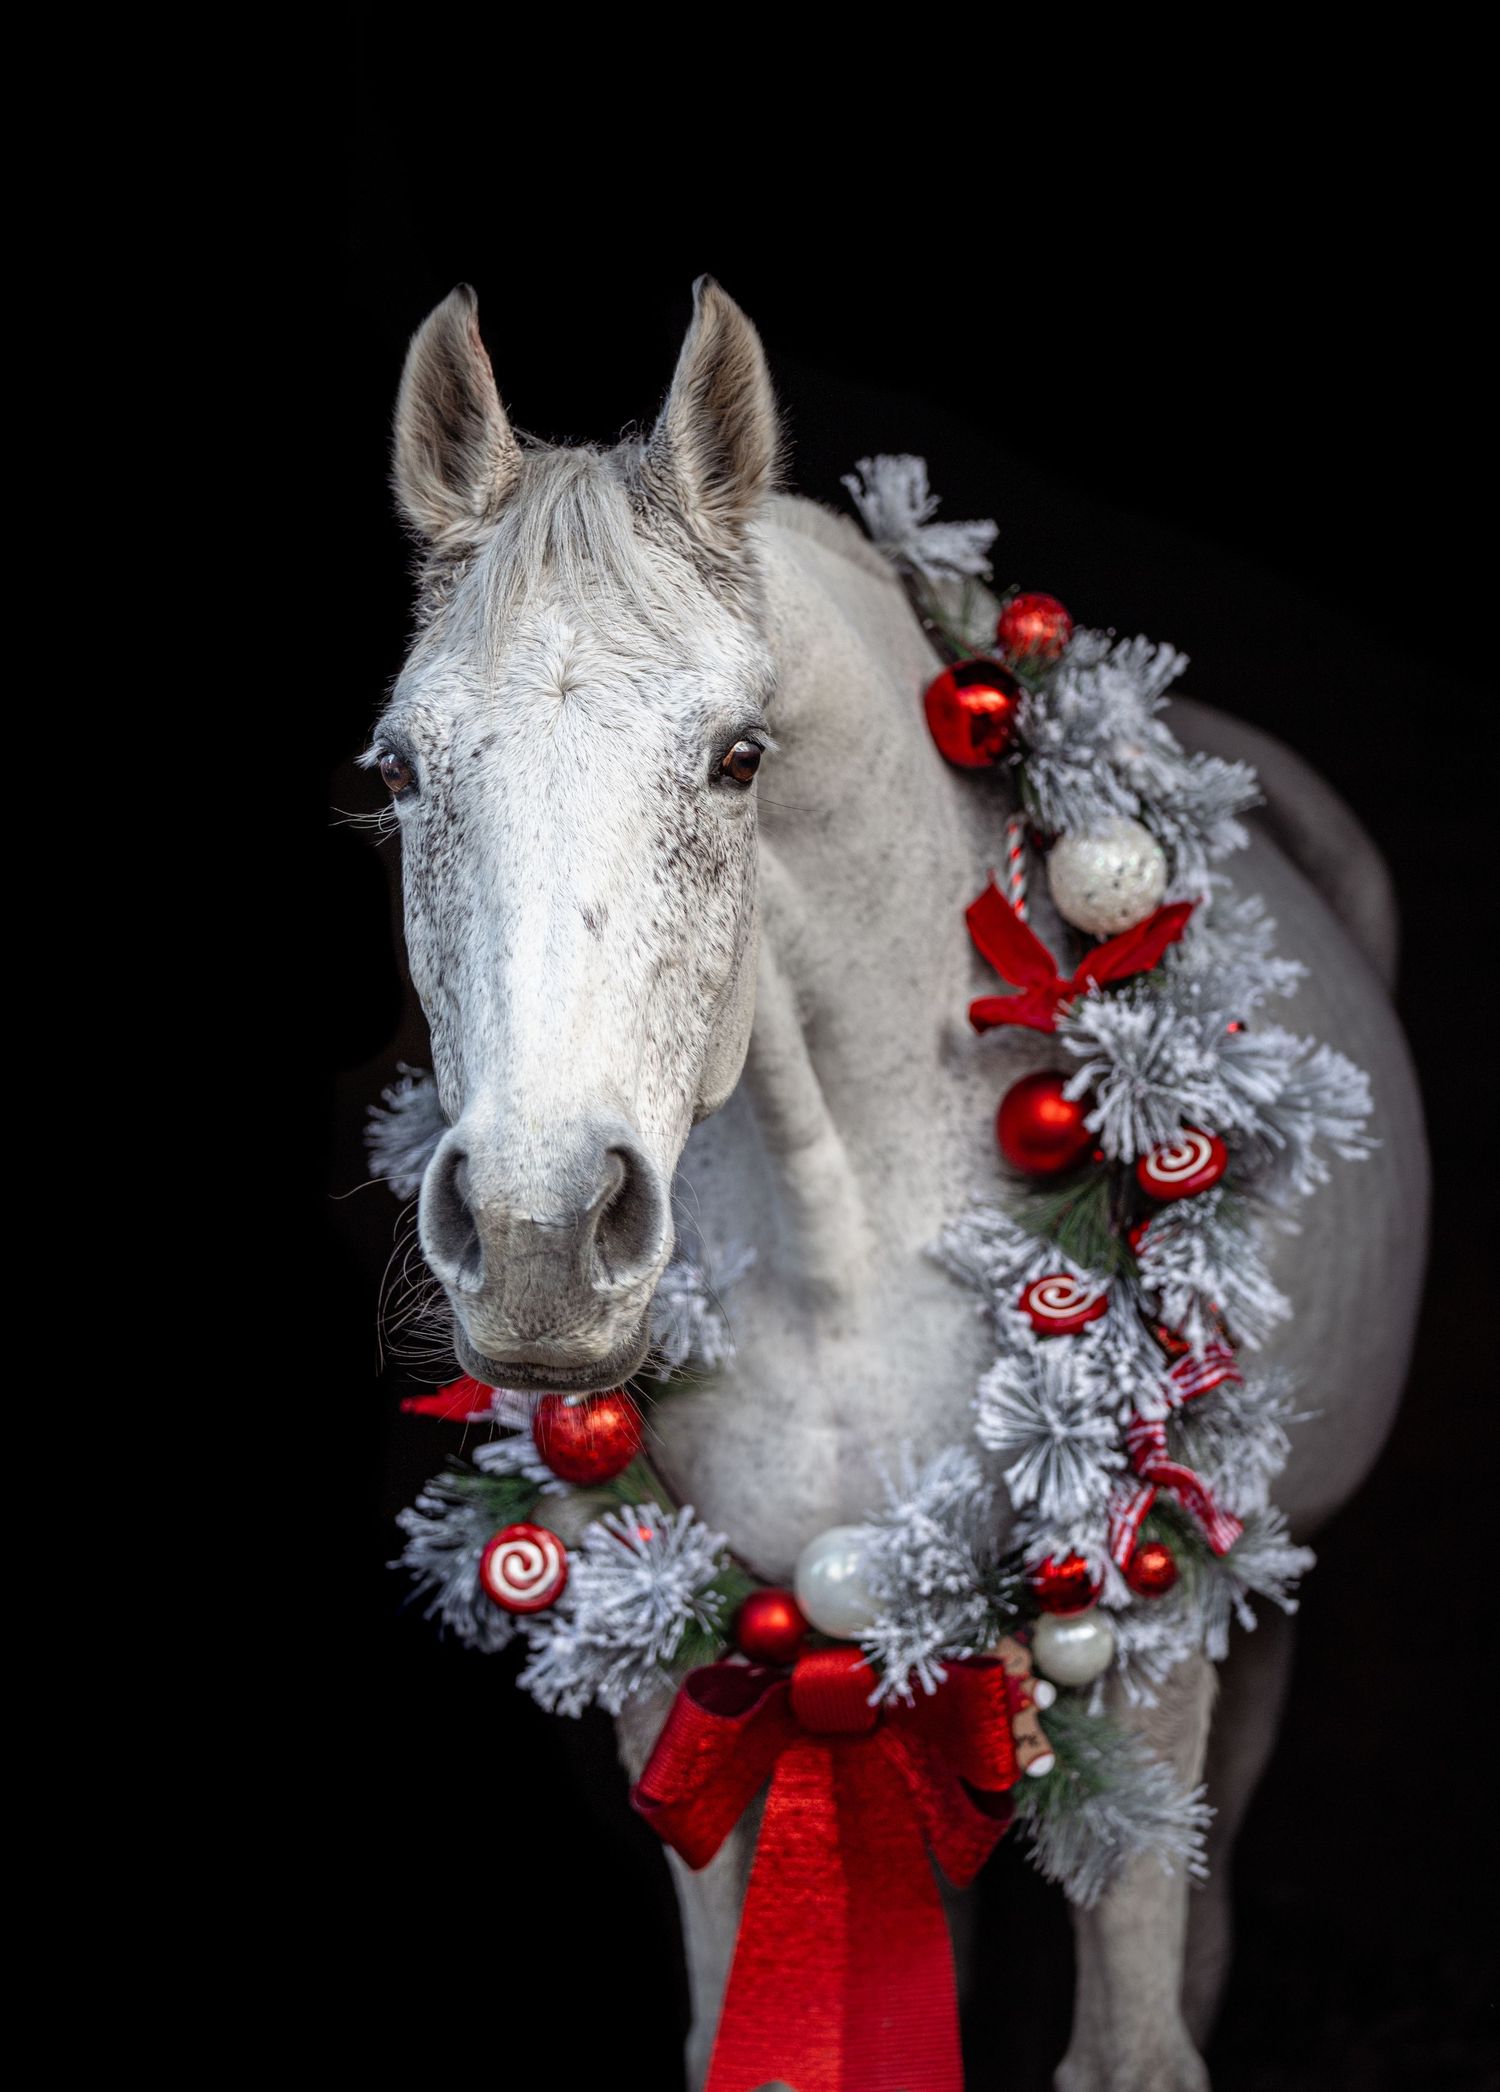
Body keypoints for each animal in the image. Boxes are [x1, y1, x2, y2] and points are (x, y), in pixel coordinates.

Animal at [368, 275, 1428, 2090]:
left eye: (737, 757)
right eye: (401, 772)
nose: (537, 1236)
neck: (846, 1248)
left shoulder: (1142, 1668)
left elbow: (1134, 2046)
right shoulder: (678, 1673)